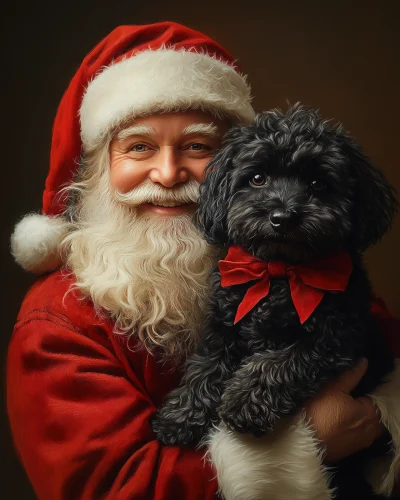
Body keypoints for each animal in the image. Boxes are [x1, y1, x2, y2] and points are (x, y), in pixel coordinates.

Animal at [152, 104, 398, 472]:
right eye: (257, 178)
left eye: (318, 183)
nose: (282, 217)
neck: (280, 273)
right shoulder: (222, 329)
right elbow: (204, 369)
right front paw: (180, 415)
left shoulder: (332, 340)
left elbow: (276, 364)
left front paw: (242, 404)